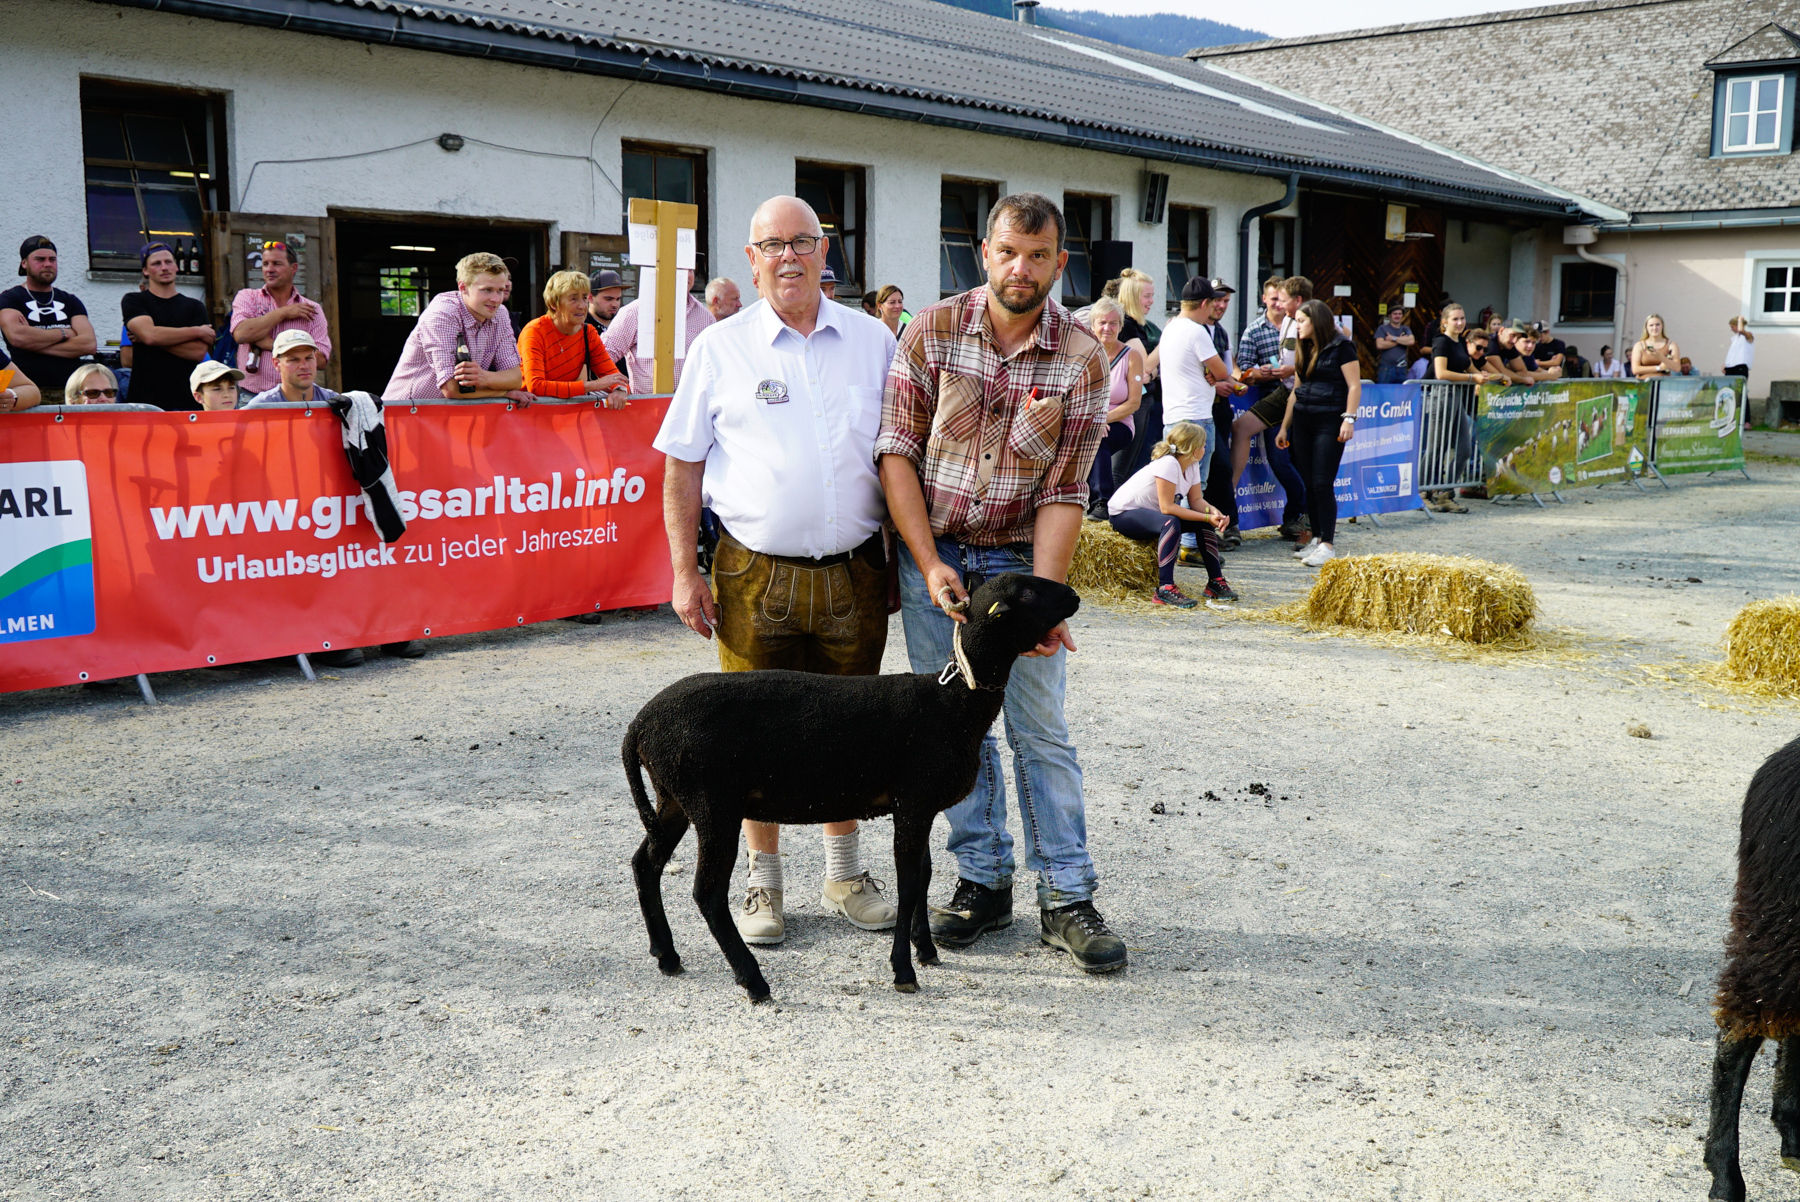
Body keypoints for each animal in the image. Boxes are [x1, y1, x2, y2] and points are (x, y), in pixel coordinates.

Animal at [619, 572, 1072, 1007]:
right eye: (1027, 592)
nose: (1072, 596)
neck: (955, 701)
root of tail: (639, 726)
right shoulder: (914, 800)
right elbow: (909, 883)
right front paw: (904, 972)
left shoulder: (917, 806)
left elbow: (923, 876)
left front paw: (925, 949)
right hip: (711, 804)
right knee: (707, 893)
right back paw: (753, 981)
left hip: (673, 798)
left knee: (645, 863)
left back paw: (666, 955)